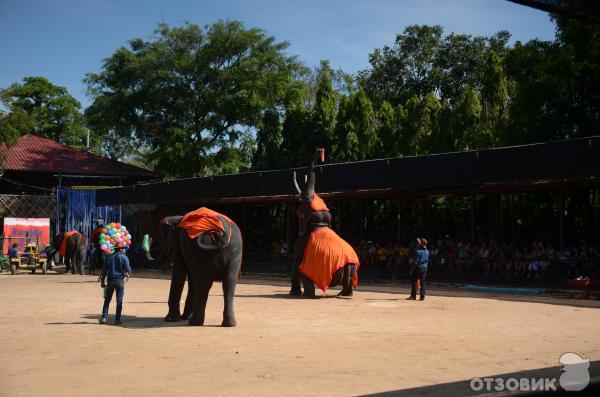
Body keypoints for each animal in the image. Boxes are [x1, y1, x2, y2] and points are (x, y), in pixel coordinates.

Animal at [292, 148, 360, 296]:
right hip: (353, 269)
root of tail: (348, 265)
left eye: (303, 198)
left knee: (305, 274)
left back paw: (308, 296)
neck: (320, 223)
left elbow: (296, 262)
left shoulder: (301, 241)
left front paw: (295, 294)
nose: (319, 151)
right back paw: (345, 294)